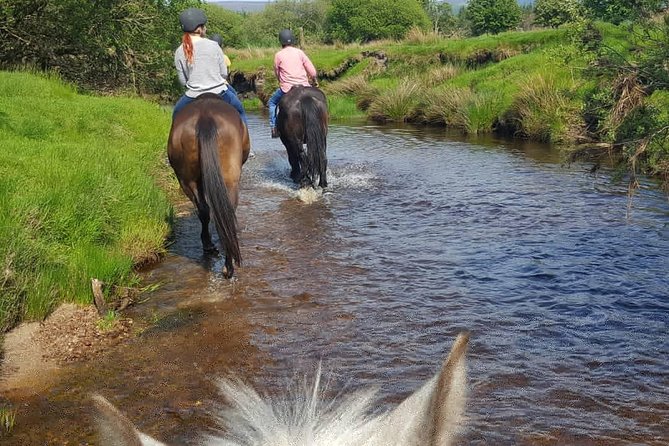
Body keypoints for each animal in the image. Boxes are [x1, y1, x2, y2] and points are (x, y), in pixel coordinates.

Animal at [167, 92, 250, 278]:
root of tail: (205, 117)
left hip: (187, 180)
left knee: (205, 210)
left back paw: (211, 248)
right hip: (228, 179)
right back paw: (227, 264)